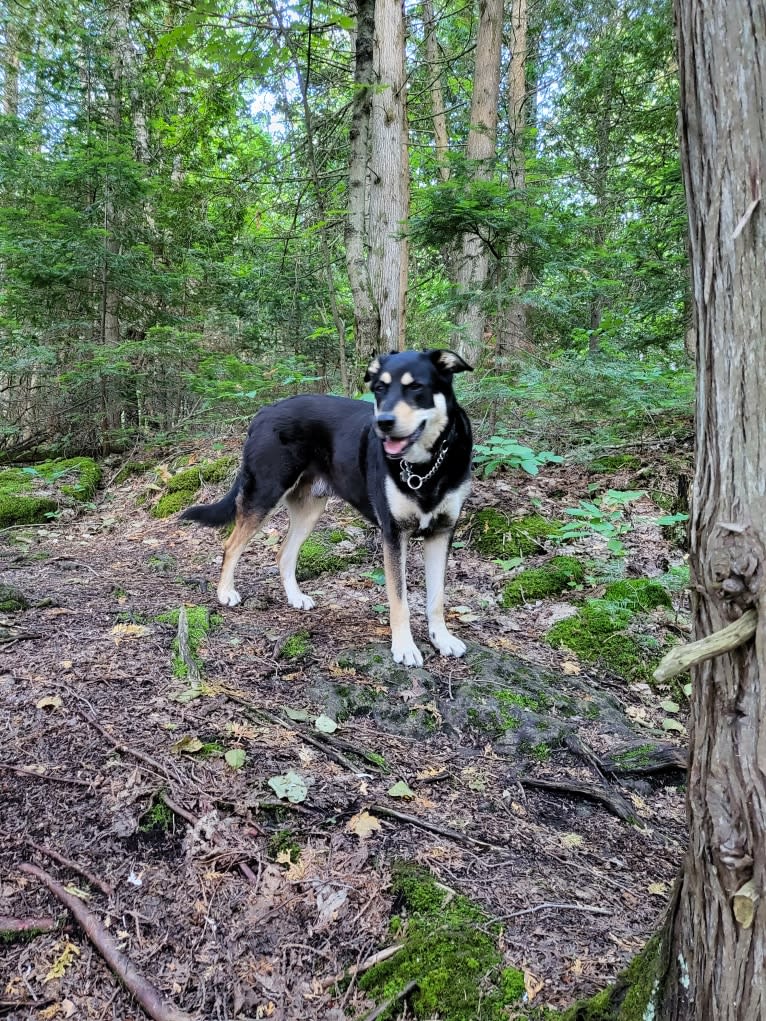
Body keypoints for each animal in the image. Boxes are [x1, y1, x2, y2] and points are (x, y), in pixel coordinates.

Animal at [181, 349, 473, 669]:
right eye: (379, 389)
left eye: (416, 387)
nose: (383, 422)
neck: (426, 467)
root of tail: (264, 410)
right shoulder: (393, 535)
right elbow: (399, 600)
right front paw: (405, 647)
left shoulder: (442, 532)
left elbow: (437, 598)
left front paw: (441, 639)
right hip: (264, 493)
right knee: (231, 545)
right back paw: (225, 592)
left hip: (309, 510)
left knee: (284, 553)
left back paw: (295, 597)